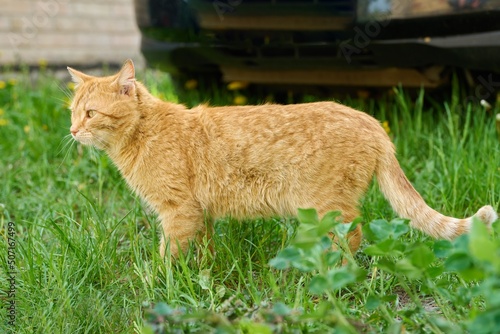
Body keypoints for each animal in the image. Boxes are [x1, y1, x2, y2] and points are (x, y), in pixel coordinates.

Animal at [67, 60, 496, 258]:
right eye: (71, 112)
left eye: (90, 113)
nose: (71, 131)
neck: (144, 133)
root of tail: (370, 121)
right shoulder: (197, 214)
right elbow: (202, 251)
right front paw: (200, 273)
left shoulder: (177, 211)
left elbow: (168, 256)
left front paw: (161, 283)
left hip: (325, 207)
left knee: (353, 237)